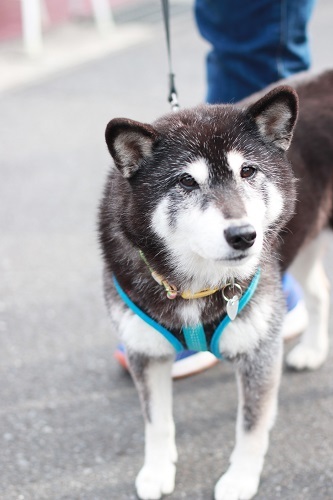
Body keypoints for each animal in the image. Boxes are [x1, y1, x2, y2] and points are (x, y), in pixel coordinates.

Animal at [97, 70, 330, 500]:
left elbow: (251, 427)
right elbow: (156, 422)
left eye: (248, 172)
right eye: (187, 181)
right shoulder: (144, 351)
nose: (244, 235)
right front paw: (157, 470)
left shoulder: (258, 352)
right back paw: (313, 351)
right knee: (320, 289)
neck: (196, 285)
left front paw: (239, 479)